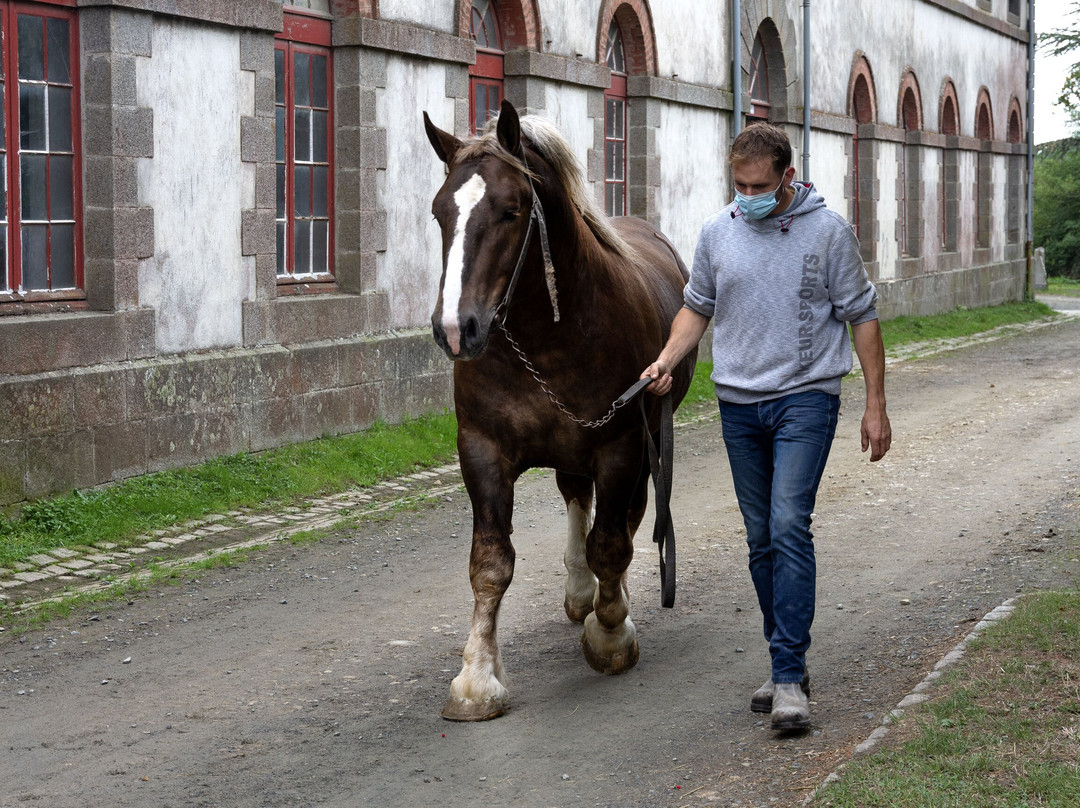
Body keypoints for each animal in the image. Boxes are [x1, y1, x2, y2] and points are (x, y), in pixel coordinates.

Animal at [423, 97, 699, 721]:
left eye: (510, 211)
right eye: (439, 213)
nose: (456, 329)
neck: (546, 338)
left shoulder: (621, 445)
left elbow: (611, 543)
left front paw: (611, 635)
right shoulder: (481, 448)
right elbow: (490, 563)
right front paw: (477, 678)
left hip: (641, 440)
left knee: (624, 521)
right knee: (577, 498)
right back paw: (579, 592)